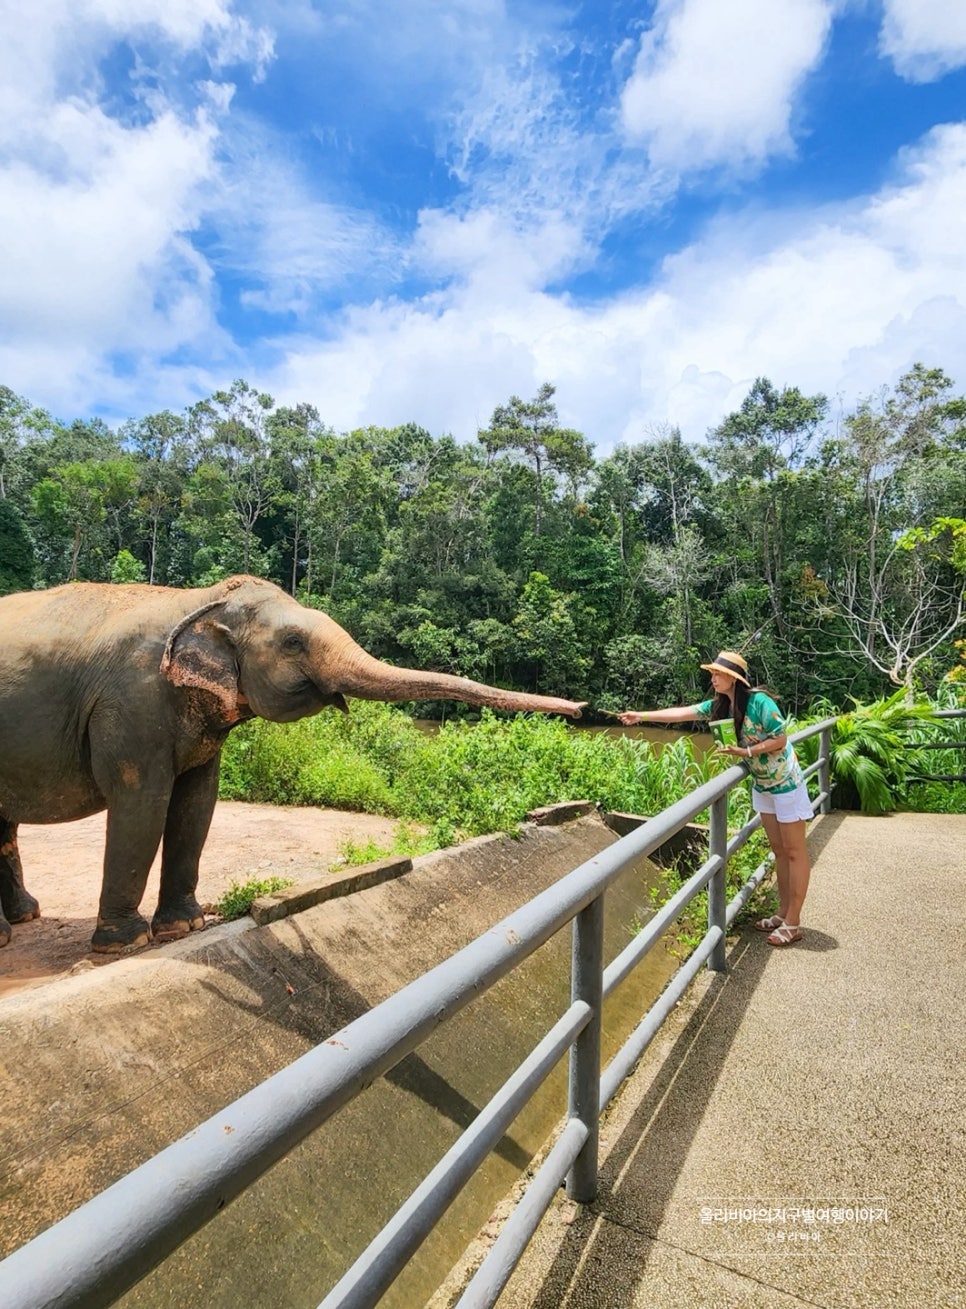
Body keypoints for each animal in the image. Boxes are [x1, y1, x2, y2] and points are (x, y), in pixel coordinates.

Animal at [0, 573, 583, 952]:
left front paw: (185, 929)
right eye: (294, 641)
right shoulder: (130, 704)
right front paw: (123, 944)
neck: (198, 600)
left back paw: (22, 918)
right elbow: (142, 801)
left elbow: (197, 803)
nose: (584, 710)